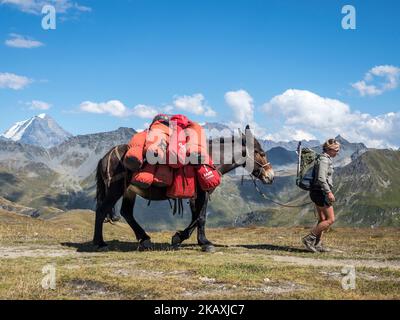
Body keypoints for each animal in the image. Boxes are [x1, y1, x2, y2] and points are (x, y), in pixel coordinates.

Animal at [93, 125, 276, 252]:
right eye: (261, 152)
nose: (271, 176)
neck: (211, 158)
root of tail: (105, 156)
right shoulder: (203, 193)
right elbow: (201, 217)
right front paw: (205, 243)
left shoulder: (197, 196)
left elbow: (196, 217)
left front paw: (179, 237)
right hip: (115, 189)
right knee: (102, 210)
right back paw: (100, 243)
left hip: (129, 191)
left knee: (126, 212)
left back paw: (144, 239)